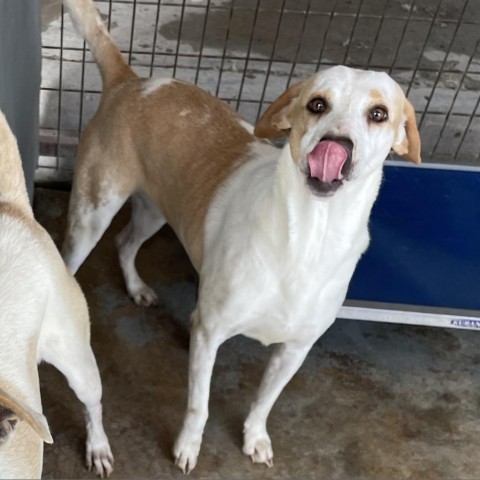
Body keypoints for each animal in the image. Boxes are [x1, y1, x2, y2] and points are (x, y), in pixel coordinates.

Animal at [61, 0, 420, 472]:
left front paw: (255, 438)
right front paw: (187, 448)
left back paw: (137, 288)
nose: (336, 143)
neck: (308, 238)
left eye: (378, 114)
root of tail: (132, 80)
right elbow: (199, 405)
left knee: (124, 243)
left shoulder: (295, 349)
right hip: (92, 215)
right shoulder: (208, 332)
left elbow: (265, 401)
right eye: (317, 104)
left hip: (158, 211)